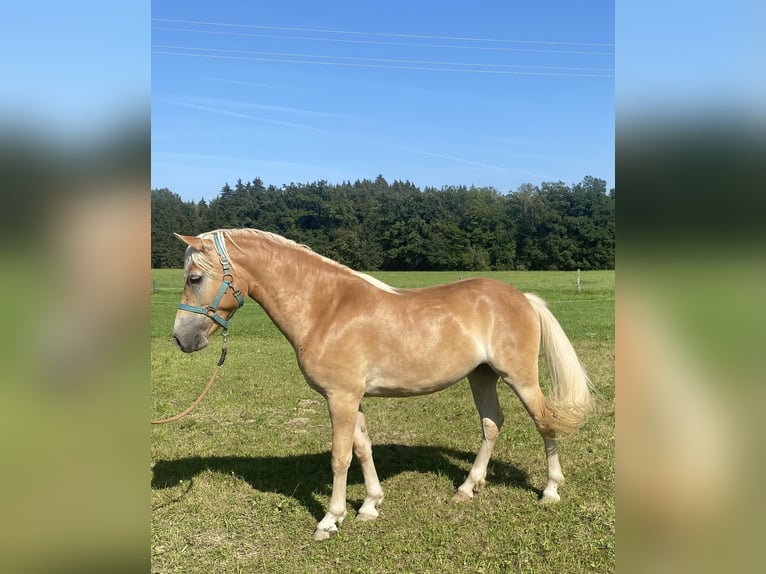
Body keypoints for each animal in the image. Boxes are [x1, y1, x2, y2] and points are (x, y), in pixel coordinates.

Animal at [172, 228, 592, 540]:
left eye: (195, 278)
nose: (181, 338)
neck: (326, 309)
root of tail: (522, 297)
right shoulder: (350, 397)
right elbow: (362, 448)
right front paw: (370, 505)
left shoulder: (340, 397)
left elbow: (340, 457)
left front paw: (330, 519)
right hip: (482, 375)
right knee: (491, 424)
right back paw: (467, 487)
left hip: (520, 378)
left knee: (544, 423)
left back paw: (550, 490)